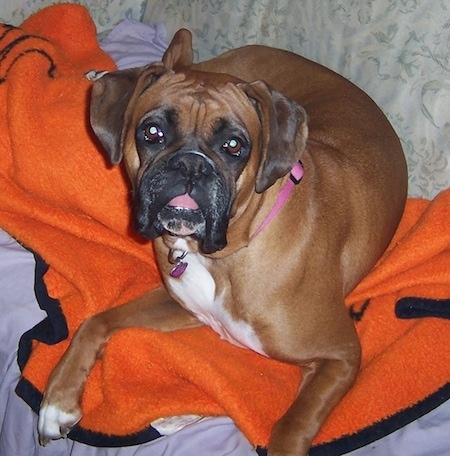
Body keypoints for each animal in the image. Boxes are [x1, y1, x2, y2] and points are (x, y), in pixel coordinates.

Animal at [37, 30, 406, 454]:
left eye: (234, 146)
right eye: (152, 133)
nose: (190, 164)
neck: (222, 256)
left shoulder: (342, 355)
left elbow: (292, 424)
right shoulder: (182, 304)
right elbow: (95, 322)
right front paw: (58, 402)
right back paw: (101, 73)